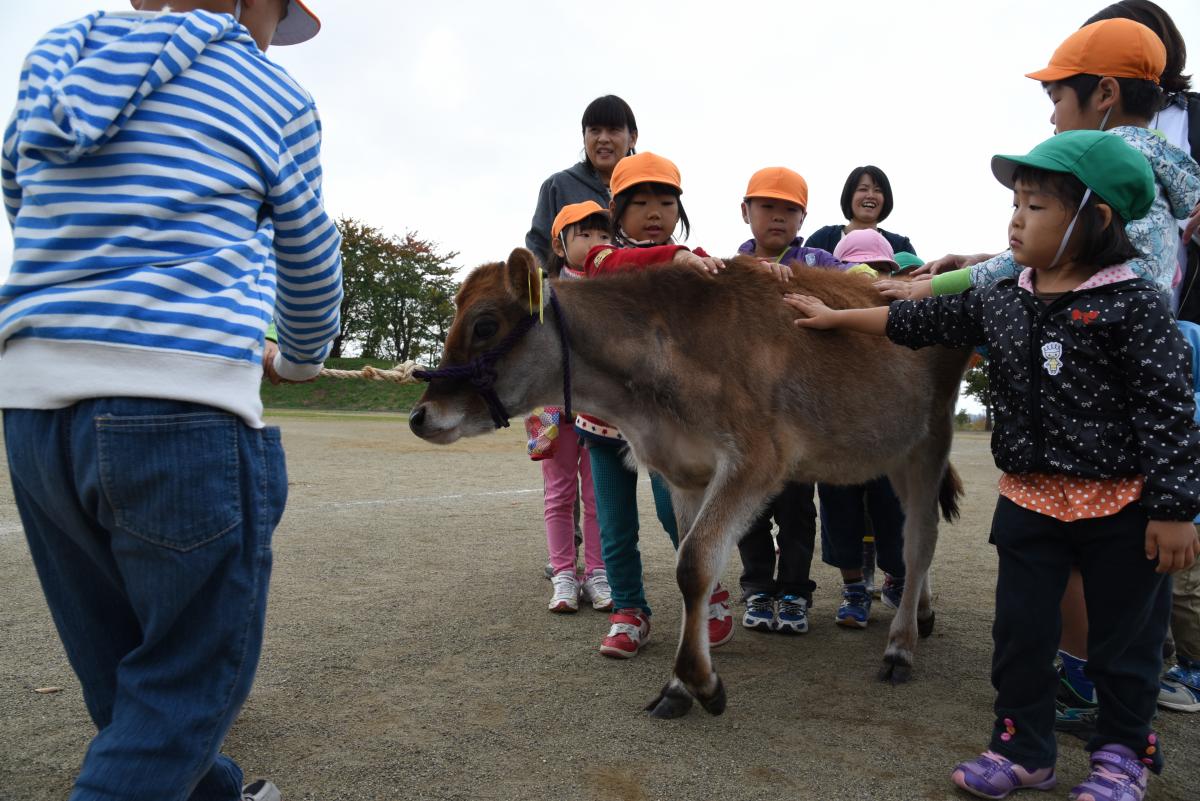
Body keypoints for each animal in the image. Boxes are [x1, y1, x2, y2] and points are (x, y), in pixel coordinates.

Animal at [408, 250, 969, 719]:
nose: (419, 416)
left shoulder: (758, 457)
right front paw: (681, 687)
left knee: (920, 540)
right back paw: (922, 613)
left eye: (484, 324)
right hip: (892, 451)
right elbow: (692, 561)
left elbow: (695, 561)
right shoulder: (681, 469)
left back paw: (900, 647)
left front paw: (697, 681)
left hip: (930, 438)